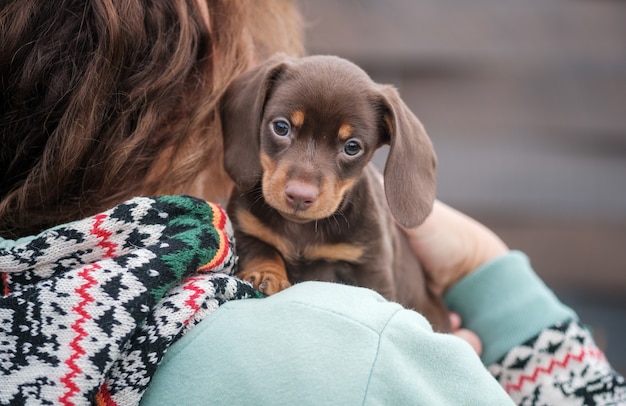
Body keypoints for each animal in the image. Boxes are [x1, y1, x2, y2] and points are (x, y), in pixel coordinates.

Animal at [219, 54, 448, 332]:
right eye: (281, 127)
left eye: (352, 147)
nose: (299, 195)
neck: (301, 229)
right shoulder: (245, 226)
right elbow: (261, 249)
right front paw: (266, 273)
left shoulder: (370, 266)